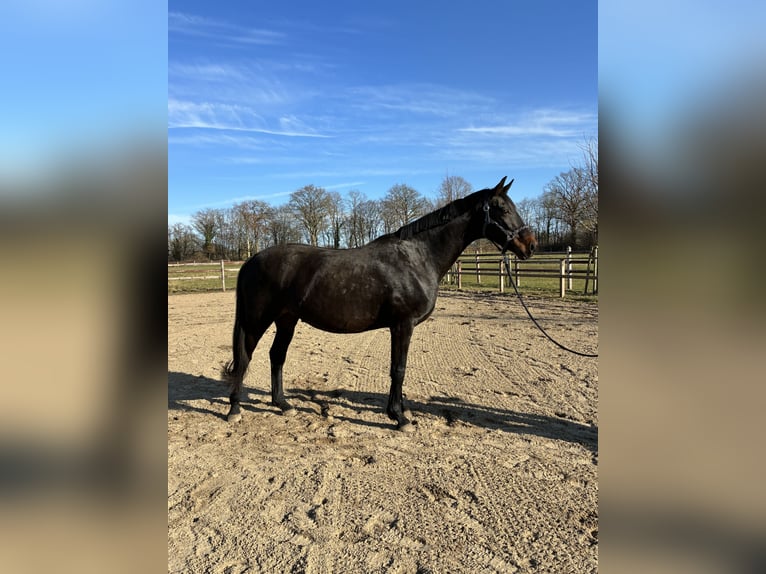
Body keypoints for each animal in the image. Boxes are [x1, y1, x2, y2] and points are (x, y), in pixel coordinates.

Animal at [222, 177, 537, 430]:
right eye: (502, 208)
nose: (530, 245)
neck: (417, 257)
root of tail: (252, 260)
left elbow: (399, 368)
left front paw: (401, 410)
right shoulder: (402, 325)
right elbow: (398, 369)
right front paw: (399, 417)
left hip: (287, 319)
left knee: (276, 356)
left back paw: (283, 405)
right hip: (257, 320)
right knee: (245, 358)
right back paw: (234, 409)